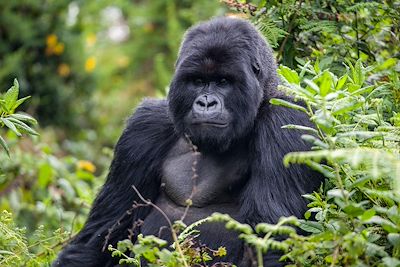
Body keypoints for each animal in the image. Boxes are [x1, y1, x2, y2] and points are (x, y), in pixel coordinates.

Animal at [53, 17, 322, 267]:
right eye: (198, 81)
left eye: (223, 82)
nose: (206, 103)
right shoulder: (143, 128)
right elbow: (101, 236)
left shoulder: (286, 121)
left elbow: (273, 241)